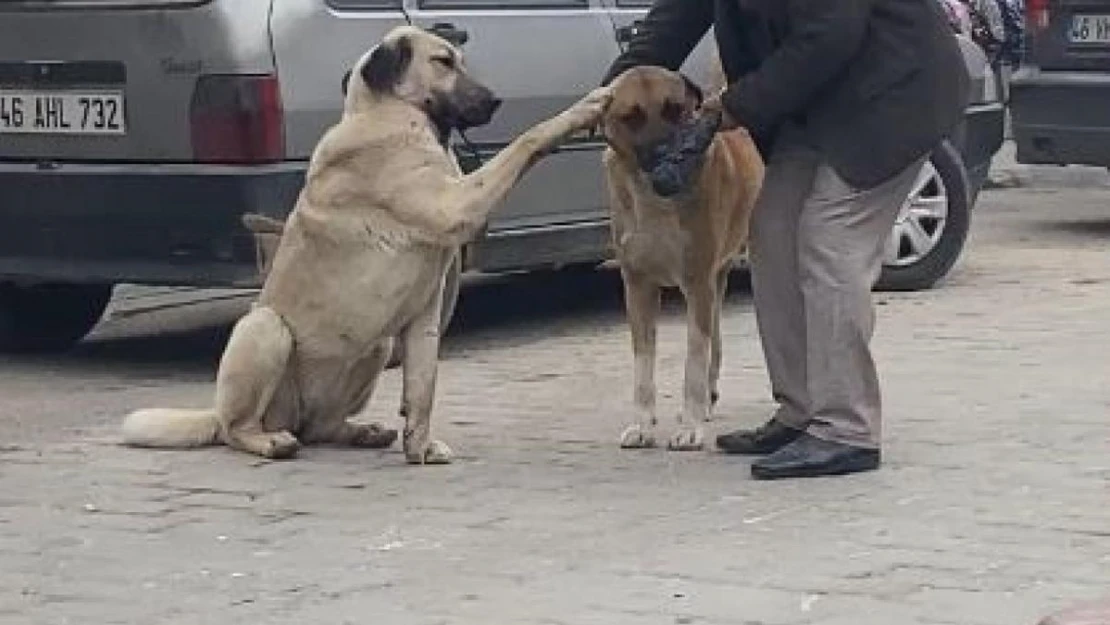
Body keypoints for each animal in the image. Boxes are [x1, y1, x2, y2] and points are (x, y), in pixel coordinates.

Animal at [124, 25, 612, 464]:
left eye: (460, 60)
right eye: (443, 62)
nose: (495, 100)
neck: (387, 113)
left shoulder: (424, 312)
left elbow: (423, 383)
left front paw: (419, 447)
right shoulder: (458, 203)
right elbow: (526, 140)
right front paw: (582, 108)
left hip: (374, 343)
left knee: (320, 427)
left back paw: (360, 432)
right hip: (265, 328)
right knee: (236, 428)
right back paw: (270, 442)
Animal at [599, 66, 763, 452]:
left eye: (674, 109)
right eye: (632, 117)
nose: (663, 152)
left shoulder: (696, 283)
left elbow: (693, 361)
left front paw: (690, 428)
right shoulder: (638, 286)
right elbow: (643, 365)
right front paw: (642, 424)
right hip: (716, 282)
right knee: (715, 340)